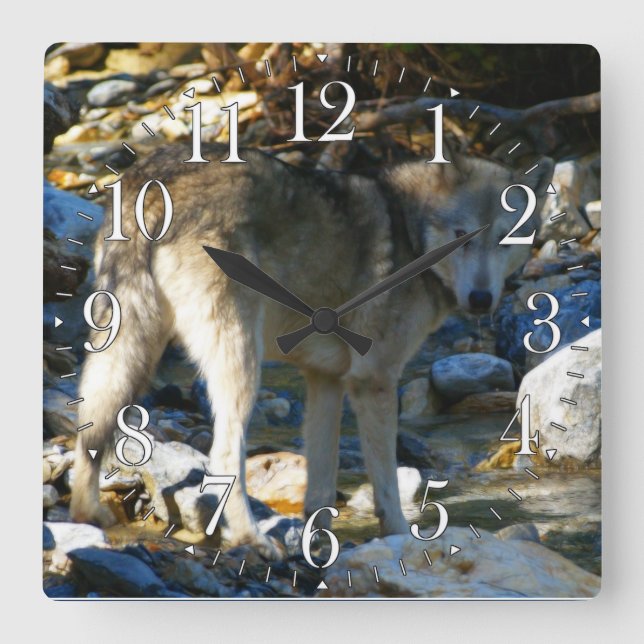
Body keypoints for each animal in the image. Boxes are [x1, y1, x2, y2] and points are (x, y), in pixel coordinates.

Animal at [70, 143, 553, 558]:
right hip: (239, 365)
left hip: (128, 353)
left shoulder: (326, 381)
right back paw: (251, 540)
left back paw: (87, 517)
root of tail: (154, 179)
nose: (481, 299)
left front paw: (318, 542)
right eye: (462, 235)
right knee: (225, 456)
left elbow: (321, 482)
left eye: (506, 239)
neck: (411, 233)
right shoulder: (373, 381)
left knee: (90, 431)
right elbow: (386, 485)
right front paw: (399, 539)